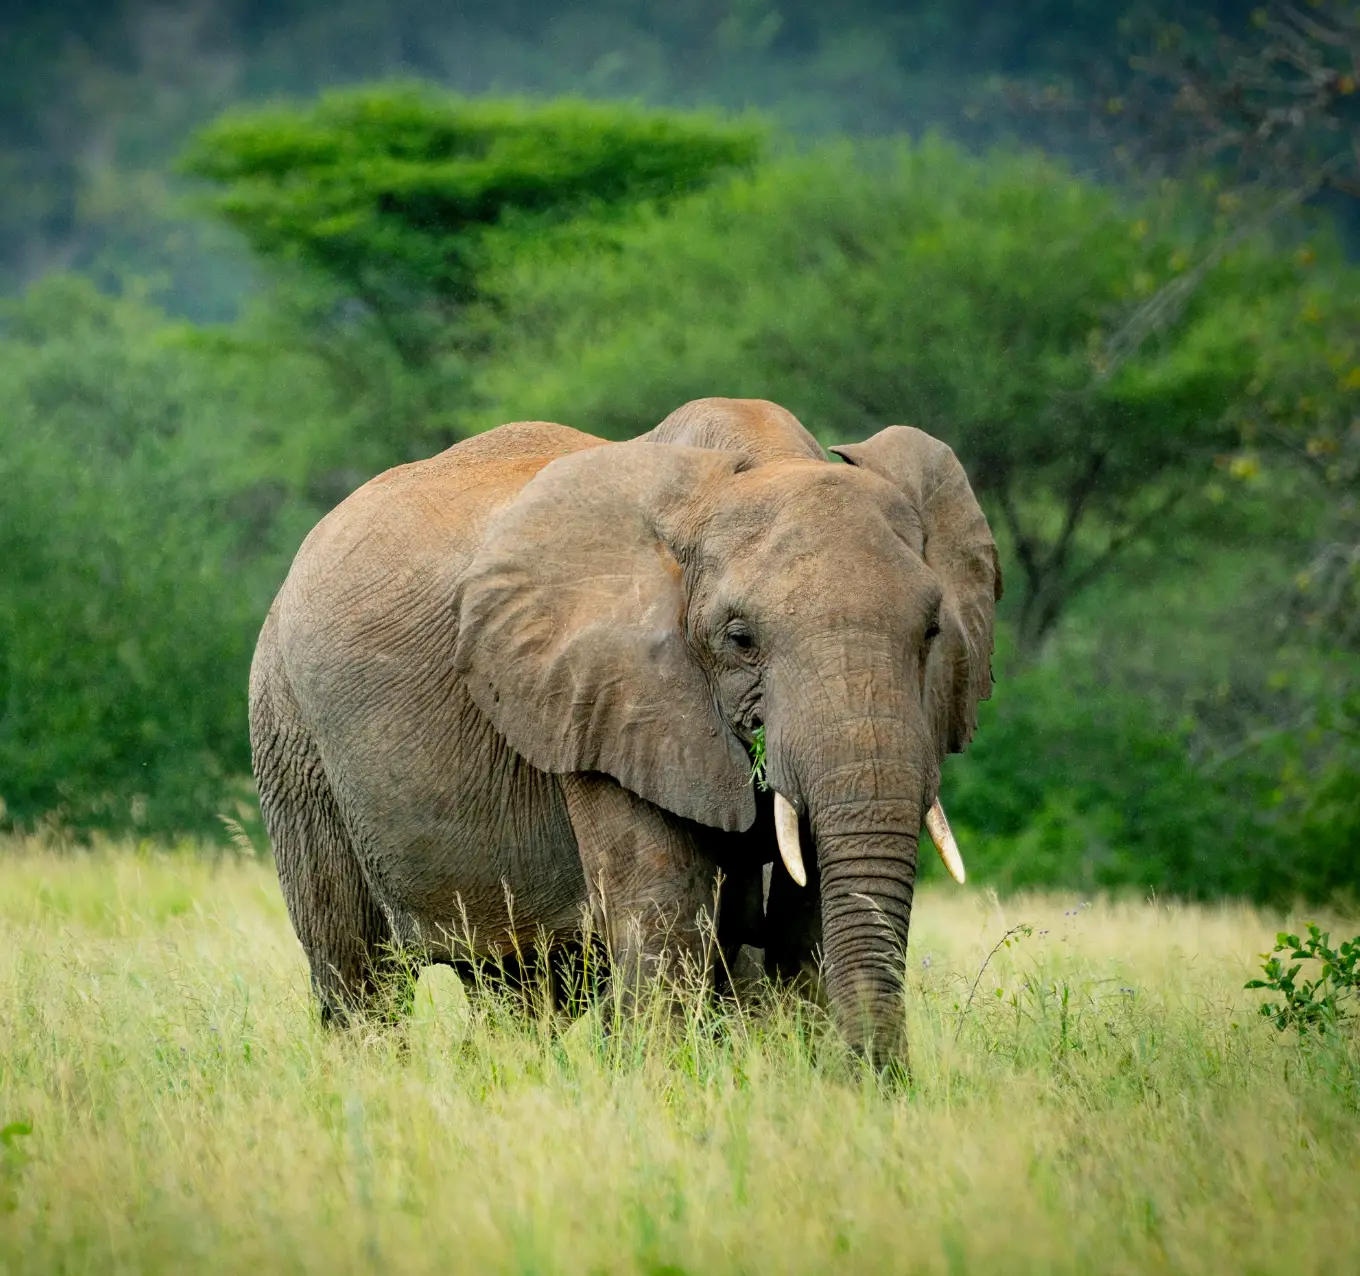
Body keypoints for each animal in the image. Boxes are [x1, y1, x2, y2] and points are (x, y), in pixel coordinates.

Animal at [249, 397, 1000, 1060]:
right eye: (740, 639)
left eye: (932, 632)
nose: (883, 1081)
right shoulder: (601, 697)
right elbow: (666, 915)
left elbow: (808, 921)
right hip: (290, 733)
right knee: (359, 977)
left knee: (516, 991)